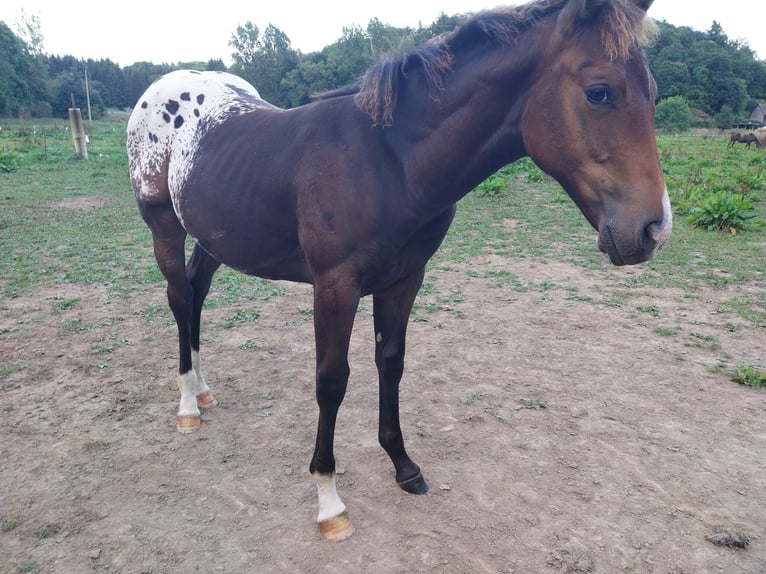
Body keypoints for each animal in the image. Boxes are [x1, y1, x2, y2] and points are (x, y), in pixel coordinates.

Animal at [126, 0, 672, 544]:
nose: (653, 229)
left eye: (653, 94)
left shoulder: (405, 279)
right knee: (180, 298)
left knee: (197, 292)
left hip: (214, 238)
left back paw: (202, 389)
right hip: (164, 227)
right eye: (600, 92)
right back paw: (187, 406)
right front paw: (329, 501)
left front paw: (403, 465)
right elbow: (332, 381)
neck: (391, 162)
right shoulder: (335, 286)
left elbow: (391, 362)